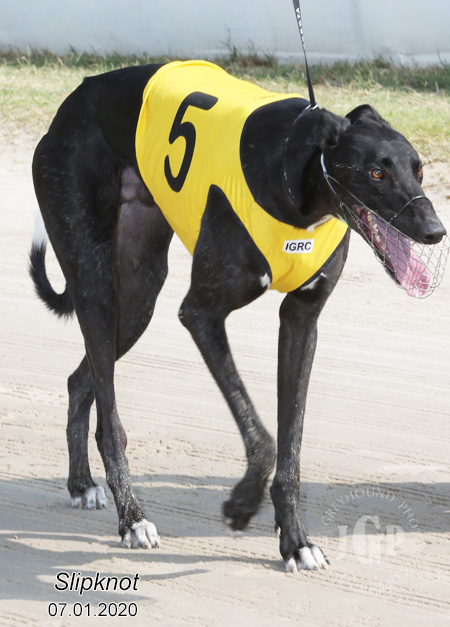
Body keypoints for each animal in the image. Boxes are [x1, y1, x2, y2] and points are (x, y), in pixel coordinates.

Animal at [30, 60, 446, 572]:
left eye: (419, 169)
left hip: (137, 296)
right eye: (375, 172)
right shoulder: (202, 314)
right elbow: (263, 436)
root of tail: (73, 100)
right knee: (110, 416)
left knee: (81, 379)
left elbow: (291, 445)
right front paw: (242, 506)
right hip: (95, 280)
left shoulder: (301, 322)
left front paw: (295, 541)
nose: (435, 231)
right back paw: (132, 518)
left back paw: (81, 483)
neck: (296, 181)